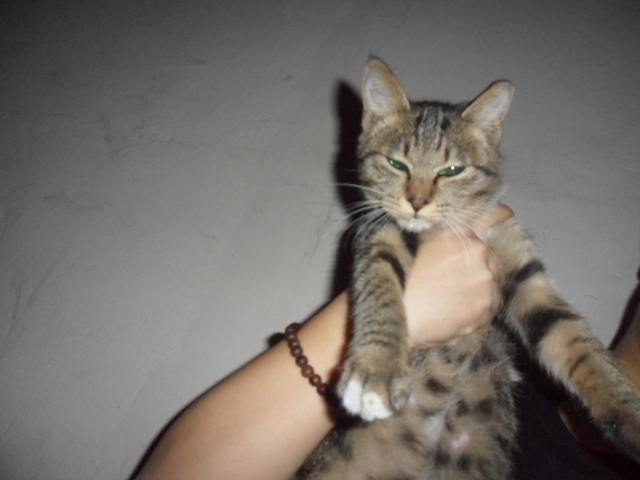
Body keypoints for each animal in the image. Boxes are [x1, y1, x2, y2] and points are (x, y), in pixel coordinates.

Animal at [294, 58, 640, 479]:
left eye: (452, 170)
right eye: (396, 164)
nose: (417, 201)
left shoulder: (524, 271)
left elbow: (575, 341)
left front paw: (629, 413)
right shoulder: (379, 232)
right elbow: (381, 286)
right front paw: (377, 367)